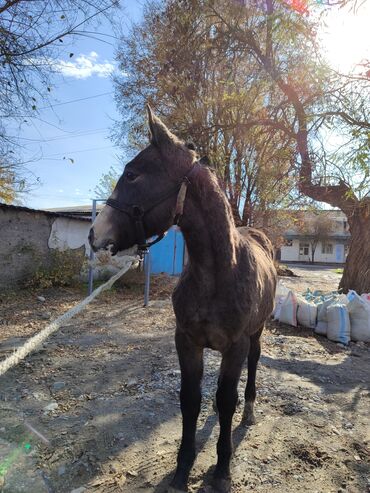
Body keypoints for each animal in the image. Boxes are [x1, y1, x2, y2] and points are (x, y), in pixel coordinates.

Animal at [89, 106, 274, 492]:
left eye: (132, 174)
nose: (93, 235)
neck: (216, 274)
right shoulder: (187, 341)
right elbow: (190, 401)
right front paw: (182, 469)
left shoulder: (235, 345)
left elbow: (226, 399)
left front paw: (222, 470)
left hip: (257, 332)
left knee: (253, 365)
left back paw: (249, 411)